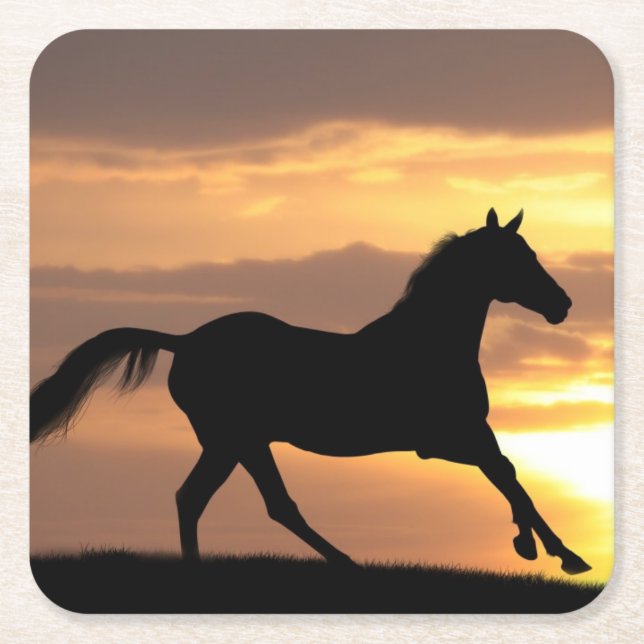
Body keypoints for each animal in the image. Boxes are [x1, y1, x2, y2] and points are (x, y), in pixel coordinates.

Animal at [30, 208, 592, 575]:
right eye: (519, 258)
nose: (562, 304)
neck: (430, 344)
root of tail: (185, 340)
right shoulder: (447, 439)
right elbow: (509, 476)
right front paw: (563, 555)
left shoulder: (458, 438)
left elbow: (507, 474)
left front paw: (533, 545)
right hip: (237, 439)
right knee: (262, 503)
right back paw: (345, 564)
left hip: (231, 443)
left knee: (201, 498)